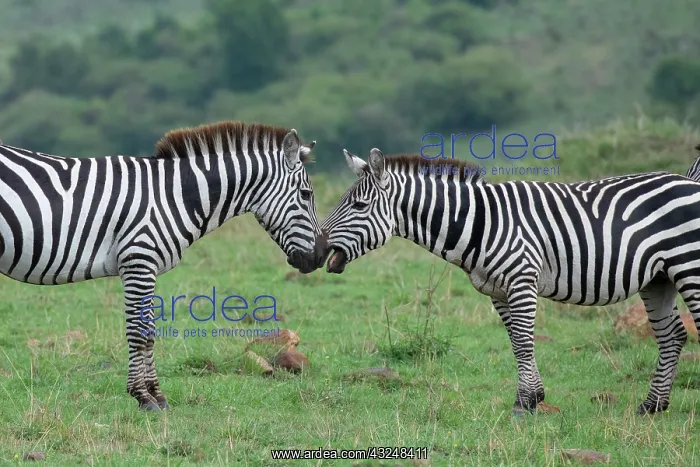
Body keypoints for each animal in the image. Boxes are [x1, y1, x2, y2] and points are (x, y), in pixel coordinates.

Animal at [0, 121, 327, 410]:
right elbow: (139, 333)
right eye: (306, 194)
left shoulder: (145, 267)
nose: (321, 256)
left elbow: (150, 331)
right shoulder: (138, 261)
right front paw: (144, 397)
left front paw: (156, 395)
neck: (176, 196)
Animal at [321, 147, 700, 416]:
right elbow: (516, 342)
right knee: (672, 335)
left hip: (689, 266)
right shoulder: (498, 291)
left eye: (358, 205)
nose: (319, 247)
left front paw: (527, 401)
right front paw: (530, 398)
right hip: (658, 278)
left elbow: (524, 342)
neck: (480, 223)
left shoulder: (522, 280)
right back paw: (652, 406)